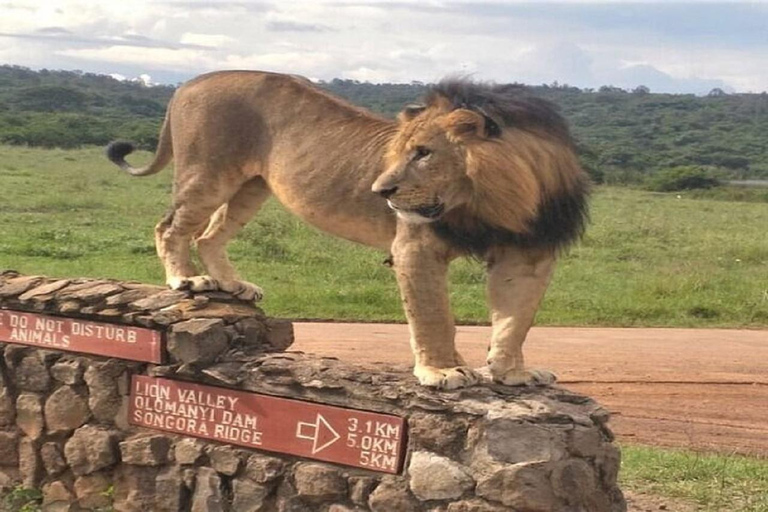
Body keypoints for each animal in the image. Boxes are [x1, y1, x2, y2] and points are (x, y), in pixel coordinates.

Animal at [108, 72, 588, 390]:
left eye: (424, 153)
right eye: (399, 152)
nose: (380, 191)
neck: (499, 199)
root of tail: (190, 81)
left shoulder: (529, 253)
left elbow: (515, 322)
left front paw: (513, 373)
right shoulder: (415, 245)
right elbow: (434, 316)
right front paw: (444, 370)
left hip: (252, 186)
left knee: (209, 235)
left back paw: (232, 285)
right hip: (208, 173)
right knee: (171, 226)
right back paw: (186, 279)